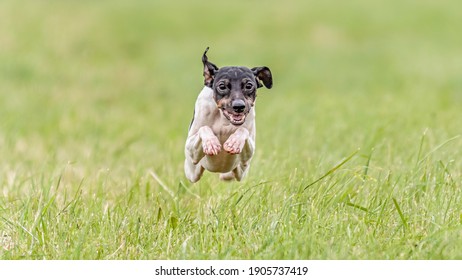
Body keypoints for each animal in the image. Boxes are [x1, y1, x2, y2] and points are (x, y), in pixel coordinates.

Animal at [183, 47, 272, 184]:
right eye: (222, 86)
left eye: (249, 85)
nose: (239, 106)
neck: (224, 121)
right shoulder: (190, 149)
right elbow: (204, 128)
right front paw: (211, 143)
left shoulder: (248, 155)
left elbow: (243, 130)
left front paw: (234, 142)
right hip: (191, 171)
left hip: (240, 171)